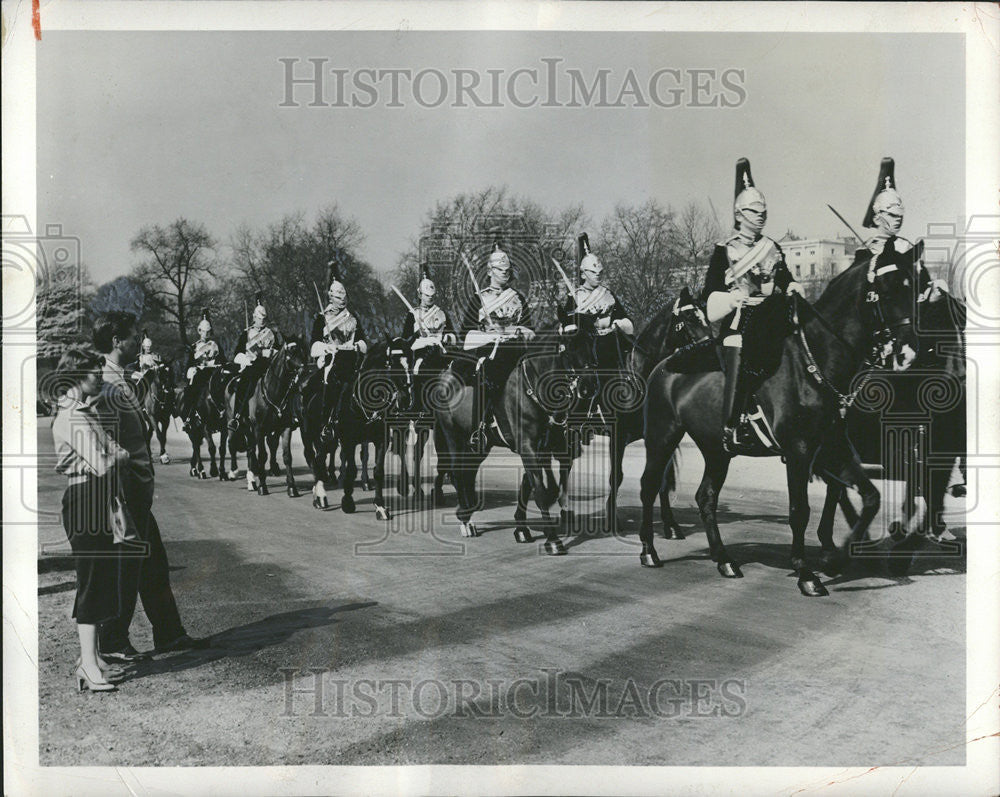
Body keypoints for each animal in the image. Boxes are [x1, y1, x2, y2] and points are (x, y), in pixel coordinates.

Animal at [227, 342, 308, 498]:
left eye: (303, 351)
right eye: (291, 352)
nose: (303, 371)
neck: (273, 393)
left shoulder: (285, 428)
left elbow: (287, 456)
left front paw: (292, 487)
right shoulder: (259, 429)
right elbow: (262, 456)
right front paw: (262, 487)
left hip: (250, 430)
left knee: (250, 450)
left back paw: (251, 480)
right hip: (236, 425)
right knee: (234, 444)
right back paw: (235, 473)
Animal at [432, 318, 600, 552]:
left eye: (592, 341)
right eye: (569, 345)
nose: (589, 386)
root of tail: (445, 373)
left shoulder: (542, 446)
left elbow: (531, 484)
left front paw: (521, 528)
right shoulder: (528, 446)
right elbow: (539, 489)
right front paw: (552, 539)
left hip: (479, 445)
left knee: (468, 472)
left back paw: (468, 510)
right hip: (453, 436)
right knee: (457, 471)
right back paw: (465, 519)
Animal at [640, 239, 920, 592]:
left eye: (914, 286)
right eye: (887, 287)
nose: (908, 352)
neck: (814, 361)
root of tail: (664, 364)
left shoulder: (832, 449)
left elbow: (870, 497)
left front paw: (835, 559)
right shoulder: (799, 451)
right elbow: (799, 509)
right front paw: (805, 572)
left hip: (717, 450)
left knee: (706, 497)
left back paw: (724, 560)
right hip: (661, 437)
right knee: (649, 486)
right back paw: (649, 551)